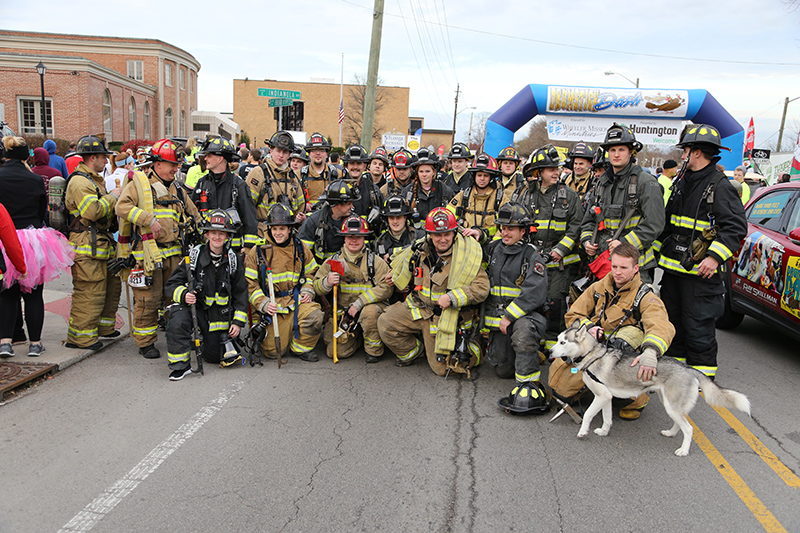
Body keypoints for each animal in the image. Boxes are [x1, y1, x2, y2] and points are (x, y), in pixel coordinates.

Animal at [552, 318, 752, 456]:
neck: (592, 355)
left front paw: (582, 432)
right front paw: (603, 431)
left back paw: (683, 450)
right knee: (681, 423)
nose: (550, 350)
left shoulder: (601, 396)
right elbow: (607, 418)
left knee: (689, 429)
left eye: (563, 342)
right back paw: (670, 433)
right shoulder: (606, 398)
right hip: (669, 404)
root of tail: (688, 367)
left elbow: (587, 415)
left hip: (672, 406)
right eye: (557, 339)